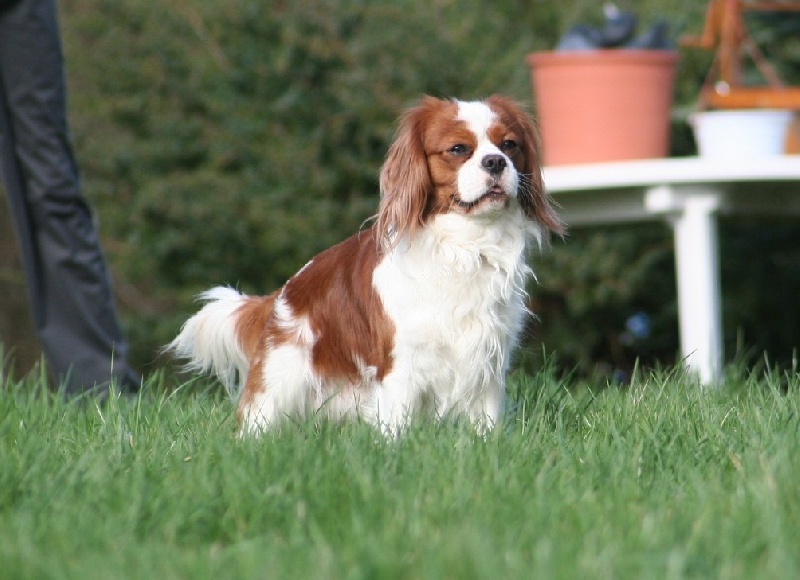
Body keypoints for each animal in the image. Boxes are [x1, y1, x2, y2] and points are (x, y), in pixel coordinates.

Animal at [171, 95, 564, 432]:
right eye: (458, 150)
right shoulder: (400, 367)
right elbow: (397, 428)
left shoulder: (488, 363)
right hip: (279, 384)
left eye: (510, 145)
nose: (496, 161)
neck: (466, 246)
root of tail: (282, 294)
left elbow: (487, 427)